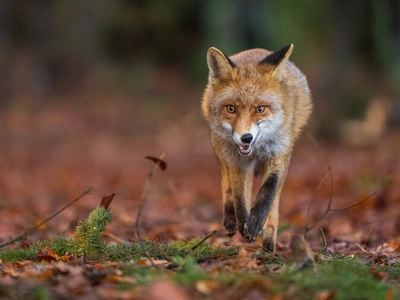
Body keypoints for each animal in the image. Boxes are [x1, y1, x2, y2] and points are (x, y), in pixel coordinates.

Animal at [202, 43, 310, 252]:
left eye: (260, 109)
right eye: (231, 108)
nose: (246, 138)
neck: (257, 149)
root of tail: (256, 49)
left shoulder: (279, 153)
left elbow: (268, 192)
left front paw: (255, 224)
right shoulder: (237, 160)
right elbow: (239, 196)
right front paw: (243, 223)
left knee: (274, 203)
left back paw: (268, 246)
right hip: (220, 148)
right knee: (226, 181)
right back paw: (230, 220)